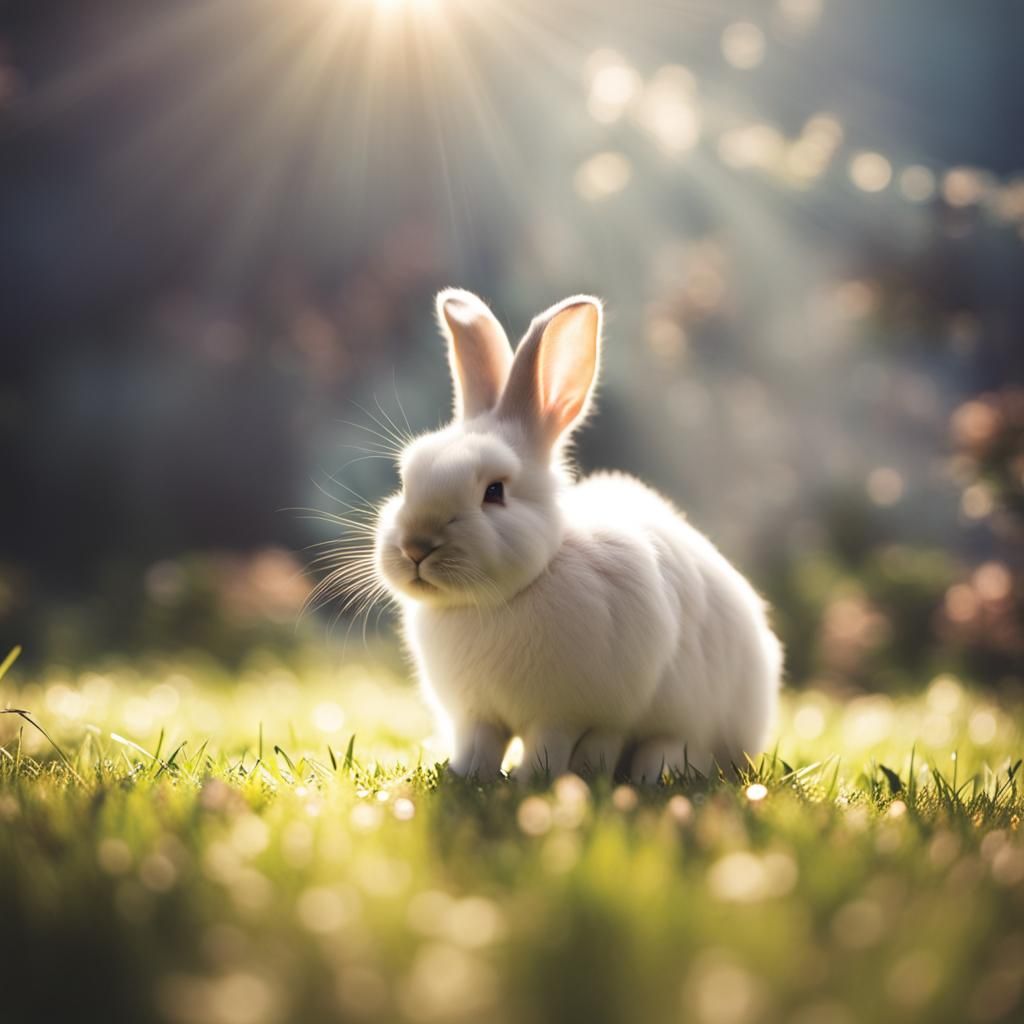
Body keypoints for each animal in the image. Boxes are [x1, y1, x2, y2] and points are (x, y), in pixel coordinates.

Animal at [373, 288, 782, 782]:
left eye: (494, 491)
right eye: (405, 479)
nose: (415, 547)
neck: (494, 601)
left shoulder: (564, 716)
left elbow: (547, 747)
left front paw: (530, 781)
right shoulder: (477, 716)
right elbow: (480, 748)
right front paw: (467, 776)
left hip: (688, 722)